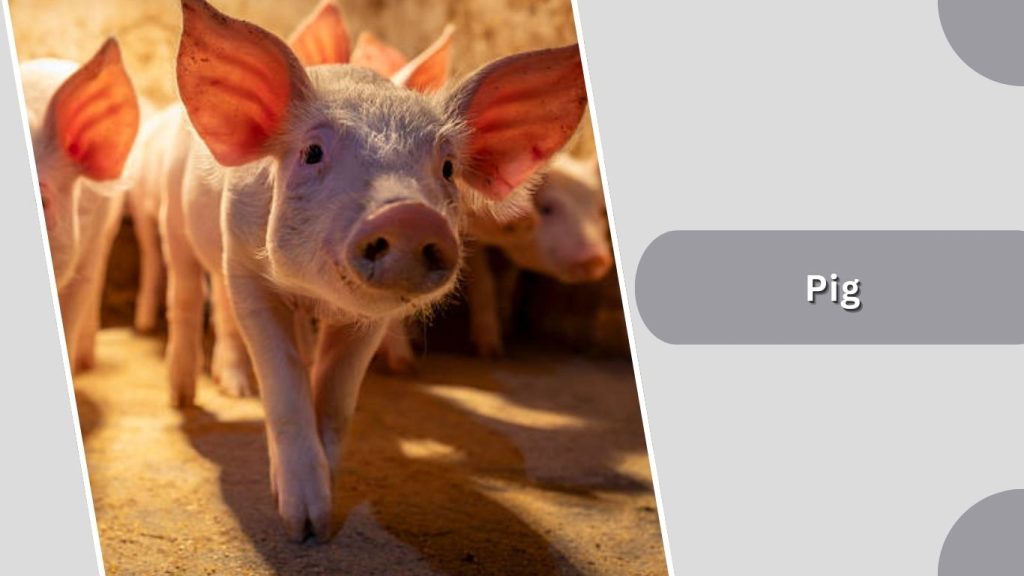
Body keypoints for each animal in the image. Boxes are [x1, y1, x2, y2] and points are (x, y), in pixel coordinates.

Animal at [171, 0, 587, 540]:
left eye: (447, 167)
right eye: (312, 152)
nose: (409, 215)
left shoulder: (371, 317)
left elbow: (336, 396)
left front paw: (325, 510)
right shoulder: (244, 269)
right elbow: (283, 384)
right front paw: (302, 527)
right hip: (178, 229)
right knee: (192, 297)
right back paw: (192, 395)